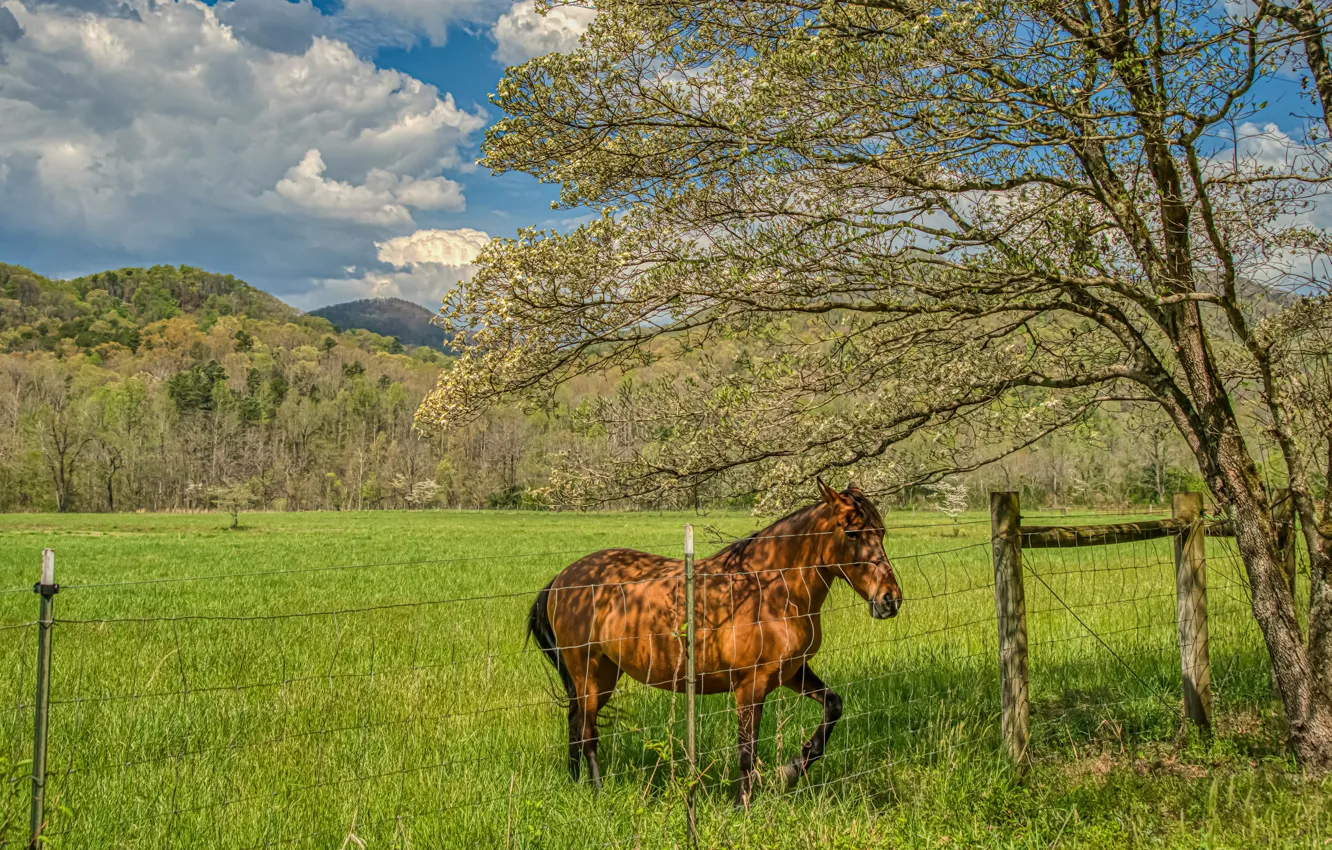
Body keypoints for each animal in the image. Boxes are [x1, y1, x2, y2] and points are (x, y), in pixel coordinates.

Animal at [526, 480, 903, 805]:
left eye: (882, 532)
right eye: (852, 532)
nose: (889, 600)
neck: (770, 590)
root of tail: (563, 578)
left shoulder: (792, 673)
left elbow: (833, 707)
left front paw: (793, 769)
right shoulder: (750, 686)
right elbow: (746, 750)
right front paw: (741, 806)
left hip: (604, 674)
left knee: (575, 722)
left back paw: (576, 781)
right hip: (587, 672)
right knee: (587, 732)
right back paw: (598, 791)